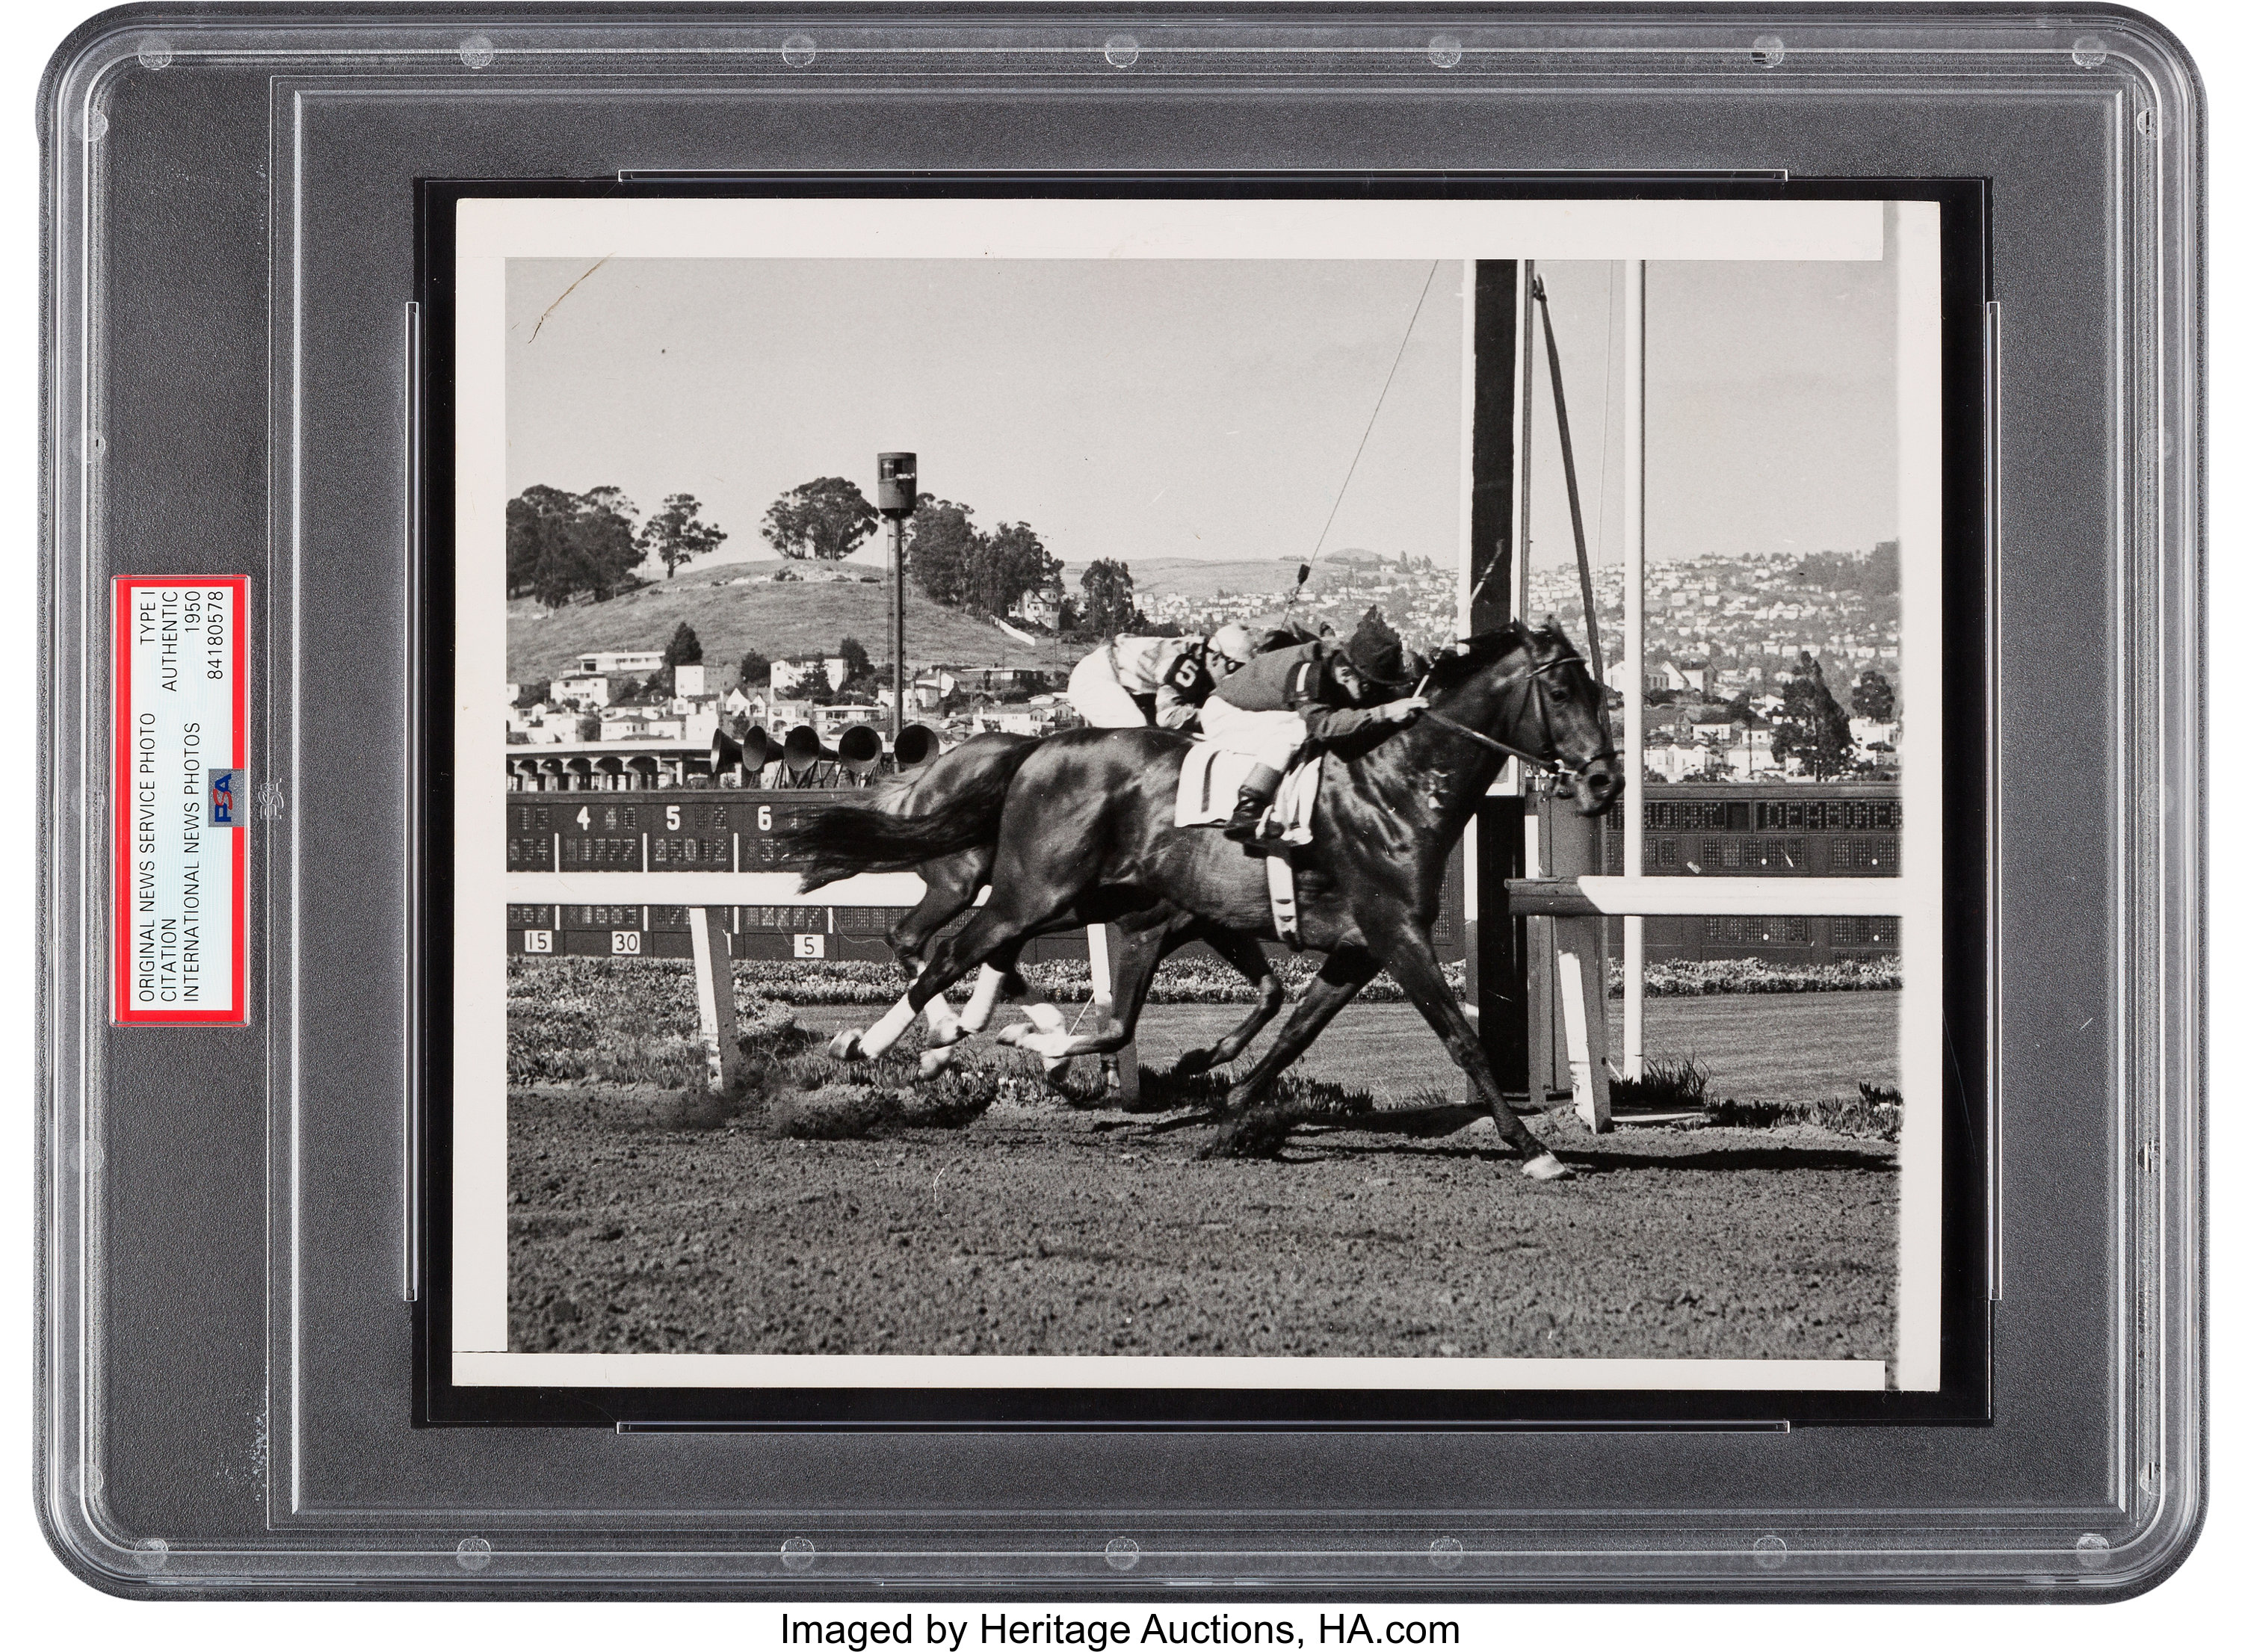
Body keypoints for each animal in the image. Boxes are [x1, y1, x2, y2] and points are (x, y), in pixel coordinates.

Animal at [785, 619, 1614, 1175]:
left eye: (1603, 689)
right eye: (1562, 688)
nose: (1605, 781)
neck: (1395, 784)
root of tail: (1037, 747)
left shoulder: (1347, 946)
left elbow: (1290, 1029)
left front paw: (1226, 1110)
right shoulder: (1393, 932)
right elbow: (1462, 1037)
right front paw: (1533, 1146)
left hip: (1067, 895)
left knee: (963, 951)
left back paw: (961, 1038)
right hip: (1034, 889)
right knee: (942, 950)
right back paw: (879, 1044)